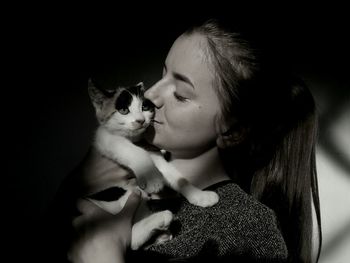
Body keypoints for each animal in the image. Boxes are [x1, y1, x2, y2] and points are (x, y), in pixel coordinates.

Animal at [87, 79, 219, 251]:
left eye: (144, 107)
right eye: (123, 110)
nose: (140, 120)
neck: (134, 139)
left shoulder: (150, 149)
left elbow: (173, 174)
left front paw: (199, 195)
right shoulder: (105, 138)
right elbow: (132, 150)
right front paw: (152, 179)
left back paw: (160, 229)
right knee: (126, 237)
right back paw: (161, 218)